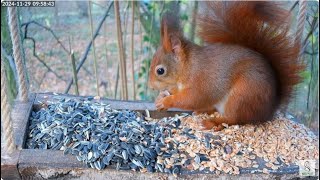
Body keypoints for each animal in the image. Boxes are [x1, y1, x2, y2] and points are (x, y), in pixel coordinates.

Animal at [147, 1, 302, 131]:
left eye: (160, 71)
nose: (151, 86)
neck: (188, 66)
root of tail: (269, 110)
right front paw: (160, 98)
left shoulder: (201, 81)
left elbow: (192, 98)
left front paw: (167, 101)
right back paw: (203, 111)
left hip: (243, 95)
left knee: (233, 119)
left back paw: (213, 122)